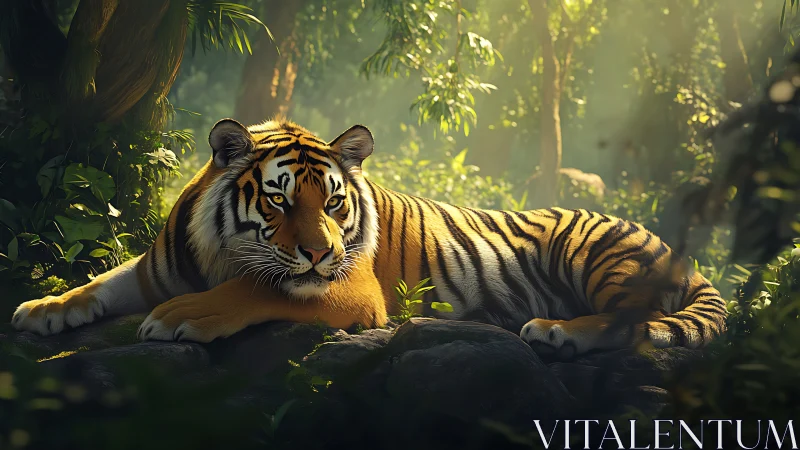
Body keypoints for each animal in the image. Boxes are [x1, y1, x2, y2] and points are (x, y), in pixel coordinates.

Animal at [10, 118, 728, 359]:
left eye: (332, 202)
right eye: (278, 199)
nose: (321, 251)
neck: (215, 250)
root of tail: (681, 253)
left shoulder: (348, 289)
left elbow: (258, 290)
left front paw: (178, 318)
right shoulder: (153, 268)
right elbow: (99, 284)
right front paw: (41, 309)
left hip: (594, 250)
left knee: (634, 325)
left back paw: (555, 331)